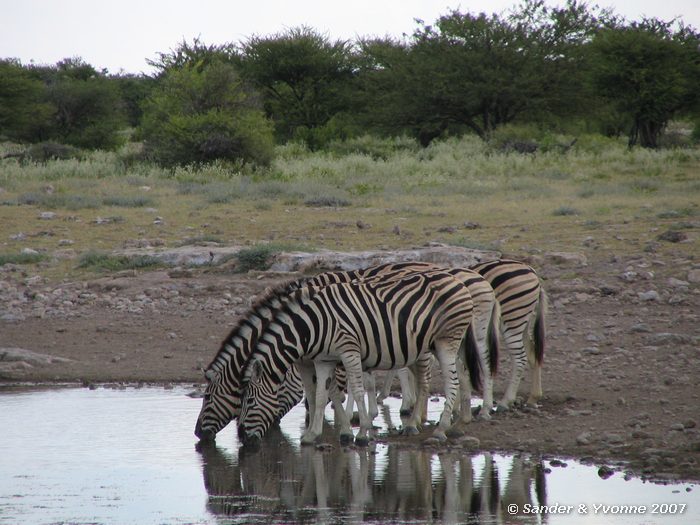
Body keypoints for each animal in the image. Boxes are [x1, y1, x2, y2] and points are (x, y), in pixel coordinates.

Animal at [238, 269, 475, 448]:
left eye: (249, 401)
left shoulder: (349, 351)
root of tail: (458, 281)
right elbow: (321, 395)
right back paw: (439, 425)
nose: (241, 437)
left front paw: (361, 434)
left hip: (446, 341)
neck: (314, 324)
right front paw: (311, 435)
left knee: (450, 382)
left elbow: (358, 391)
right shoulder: (323, 360)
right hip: (434, 344)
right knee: (446, 378)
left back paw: (440, 429)